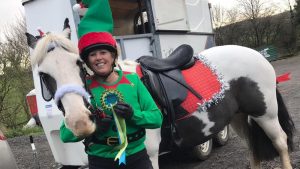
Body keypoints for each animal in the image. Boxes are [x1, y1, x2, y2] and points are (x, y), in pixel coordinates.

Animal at [27, 29, 294, 168]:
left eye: (79, 64)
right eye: (43, 74)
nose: (79, 121)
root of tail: (256, 55)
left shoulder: (149, 153)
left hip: (265, 114)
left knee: (280, 142)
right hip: (238, 117)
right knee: (252, 147)